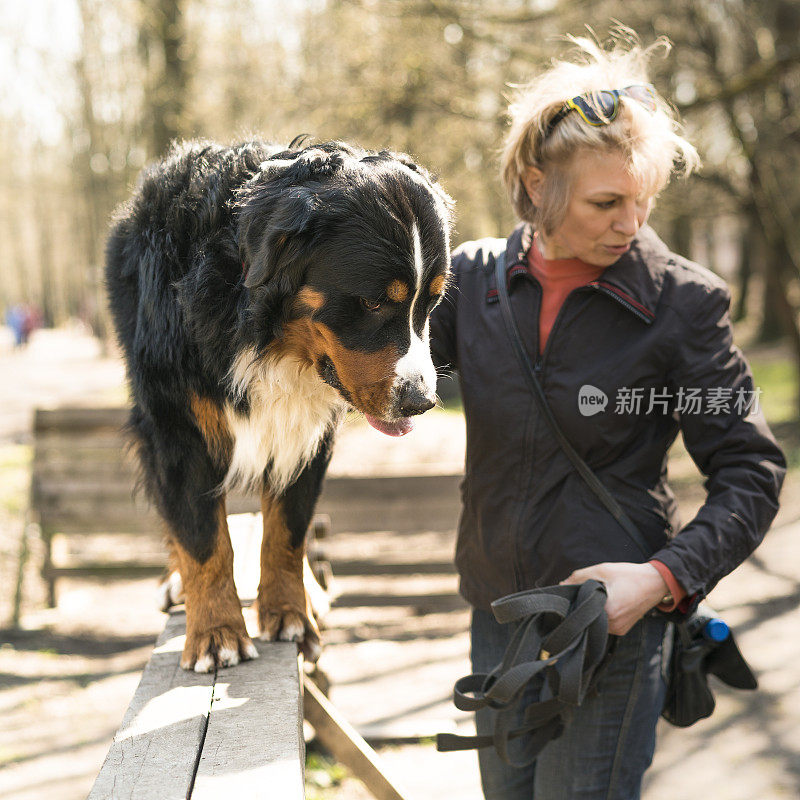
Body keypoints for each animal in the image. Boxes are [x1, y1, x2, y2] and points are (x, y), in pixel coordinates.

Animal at [106, 138, 454, 668]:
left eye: (431, 304)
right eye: (373, 302)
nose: (422, 400)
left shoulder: (308, 434)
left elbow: (288, 529)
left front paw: (291, 616)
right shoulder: (177, 425)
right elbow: (202, 538)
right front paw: (217, 634)